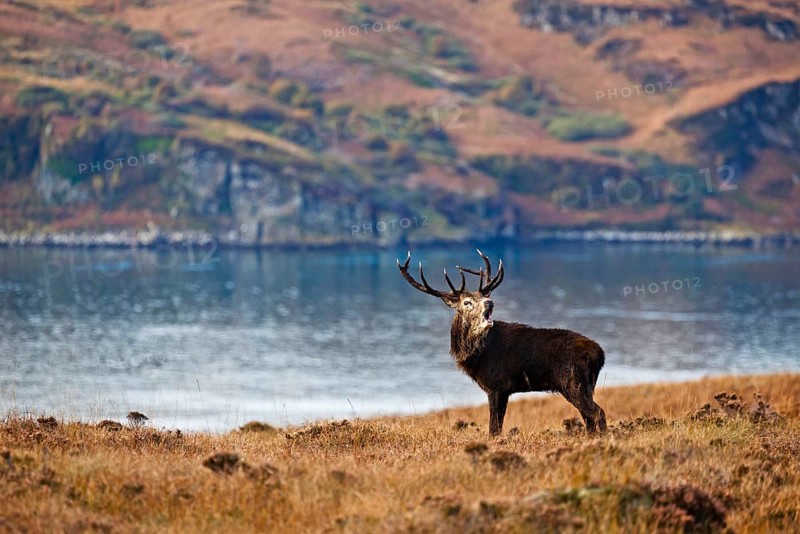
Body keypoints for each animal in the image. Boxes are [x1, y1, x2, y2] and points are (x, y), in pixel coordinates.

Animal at [397, 250, 607, 436]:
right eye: (467, 302)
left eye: (484, 296)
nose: (490, 302)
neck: (475, 357)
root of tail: (600, 354)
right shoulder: (502, 389)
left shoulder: (497, 385)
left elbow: (494, 428)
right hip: (587, 385)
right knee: (588, 417)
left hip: (572, 382)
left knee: (598, 412)